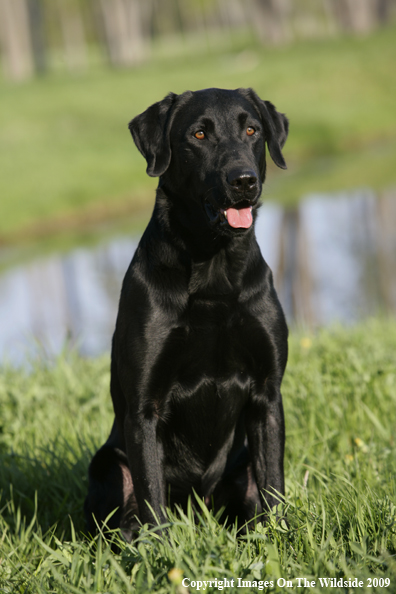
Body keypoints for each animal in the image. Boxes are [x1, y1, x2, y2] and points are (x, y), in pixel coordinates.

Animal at [84, 86, 288, 536]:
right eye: (198, 134)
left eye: (252, 130)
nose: (243, 179)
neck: (213, 271)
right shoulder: (144, 410)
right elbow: (153, 505)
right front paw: (163, 552)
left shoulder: (267, 395)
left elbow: (274, 490)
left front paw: (283, 540)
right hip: (108, 466)